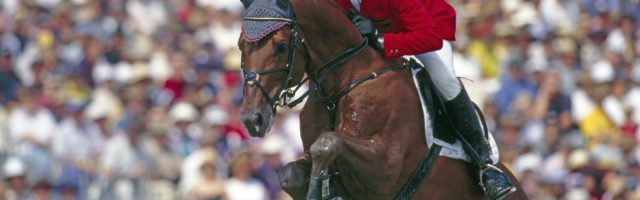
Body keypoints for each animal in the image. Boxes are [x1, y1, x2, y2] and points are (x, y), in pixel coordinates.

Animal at [238, 0, 528, 198]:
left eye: (280, 47)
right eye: (240, 45)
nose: (252, 119)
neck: (340, 84)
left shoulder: (385, 166)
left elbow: (328, 143)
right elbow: (290, 173)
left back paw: (493, 179)